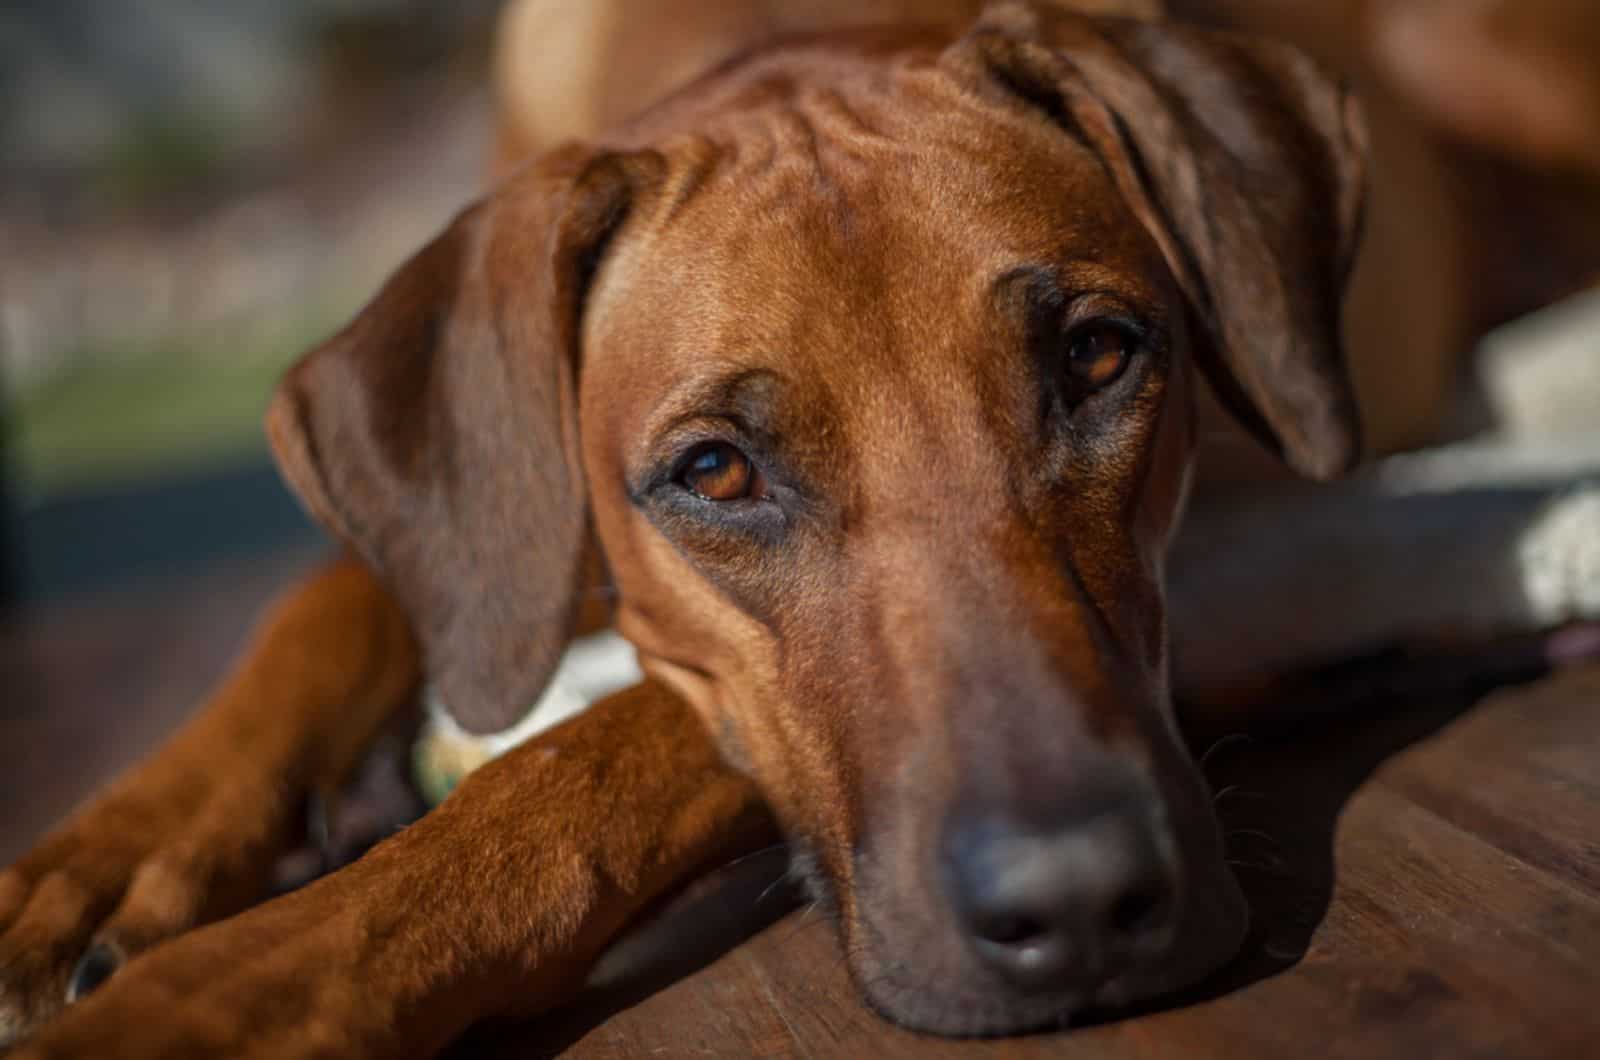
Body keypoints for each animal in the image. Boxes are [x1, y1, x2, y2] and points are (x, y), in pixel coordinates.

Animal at [0, 4, 1593, 1056]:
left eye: (1097, 357)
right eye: (715, 474)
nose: (1080, 905)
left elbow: (583, 761)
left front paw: (219, 997)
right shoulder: (469, 502)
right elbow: (332, 607)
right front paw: (91, 873)